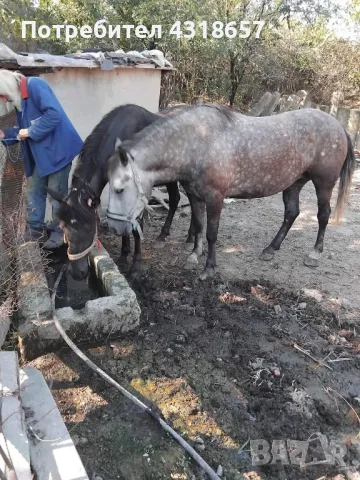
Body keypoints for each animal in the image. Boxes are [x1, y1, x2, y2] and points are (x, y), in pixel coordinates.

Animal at [105, 103, 356, 280]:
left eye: (119, 189)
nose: (114, 227)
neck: (196, 143)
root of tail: (339, 126)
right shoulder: (195, 196)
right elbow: (198, 226)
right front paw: (193, 256)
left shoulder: (216, 198)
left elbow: (211, 233)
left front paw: (208, 269)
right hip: (294, 183)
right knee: (291, 213)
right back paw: (271, 249)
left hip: (323, 183)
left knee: (323, 215)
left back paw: (315, 253)